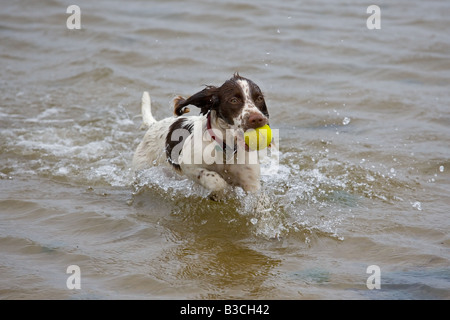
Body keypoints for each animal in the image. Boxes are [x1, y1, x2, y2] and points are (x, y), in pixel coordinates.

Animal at [130, 74, 270, 200]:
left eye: (259, 98)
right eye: (233, 100)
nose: (257, 118)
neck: (226, 148)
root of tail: (155, 124)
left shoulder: (251, 183)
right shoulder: (187, 163)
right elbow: (215, 180)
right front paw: (220, 193)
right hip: (142, 168)